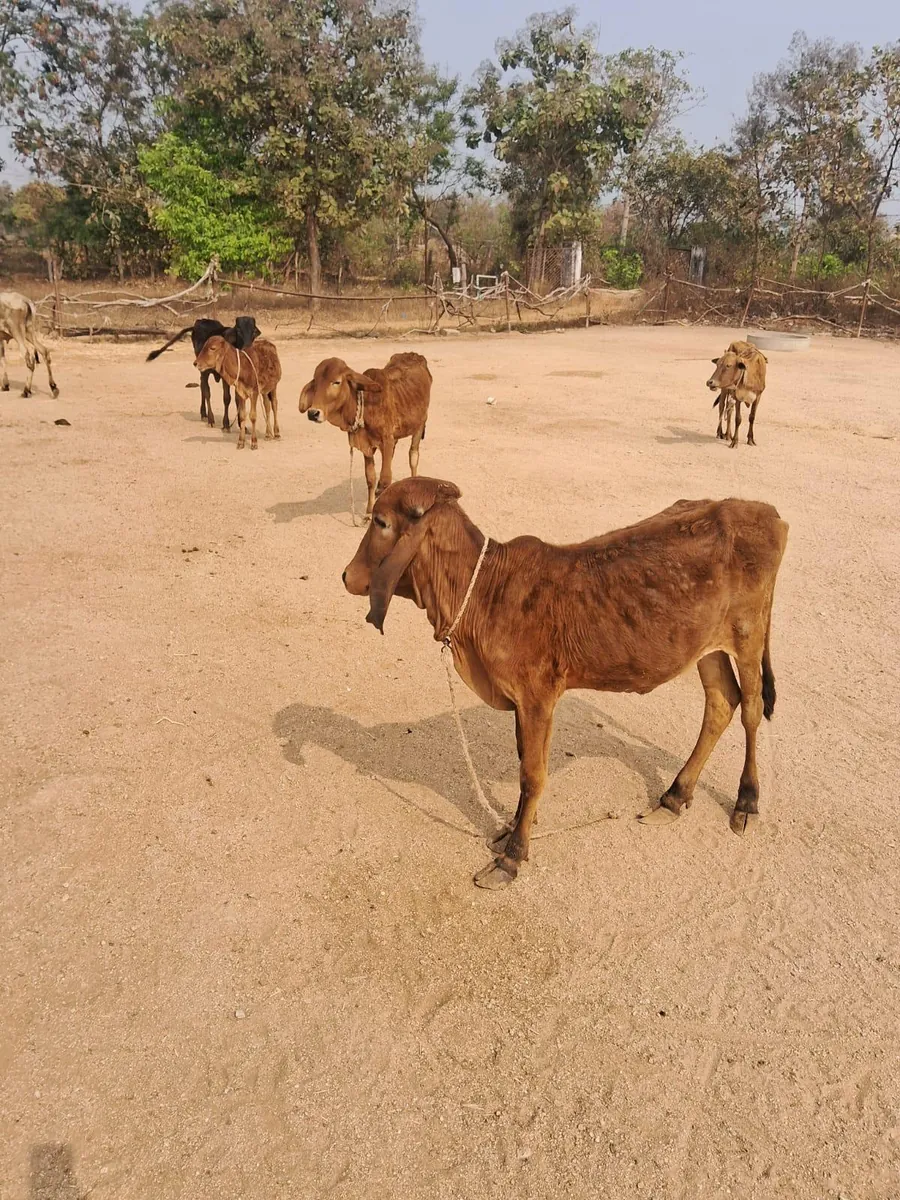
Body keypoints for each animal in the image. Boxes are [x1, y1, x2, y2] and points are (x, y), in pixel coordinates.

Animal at [299, 353, 431, 516]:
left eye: (336, 382)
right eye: (316, 383)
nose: (313, 413)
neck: (366, 405)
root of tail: (415, 355)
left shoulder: (387, 440)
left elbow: (385, 480)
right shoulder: (367, 446)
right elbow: (371, 479)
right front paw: (368, 512)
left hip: (419, 425)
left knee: (413, 456)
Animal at [343, 477, 788, 890]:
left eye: (381, 522)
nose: (347, 576)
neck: (486, 590)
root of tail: (764, 511)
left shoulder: (538, 697)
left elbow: (533, 774)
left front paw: (512, 856)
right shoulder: (523, 703)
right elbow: (526, 761)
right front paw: (516, 826)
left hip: (748, 635)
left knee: (750, 709)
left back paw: (747, 801)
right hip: (706, 646)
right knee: (721, 702)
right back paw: (675, 797)